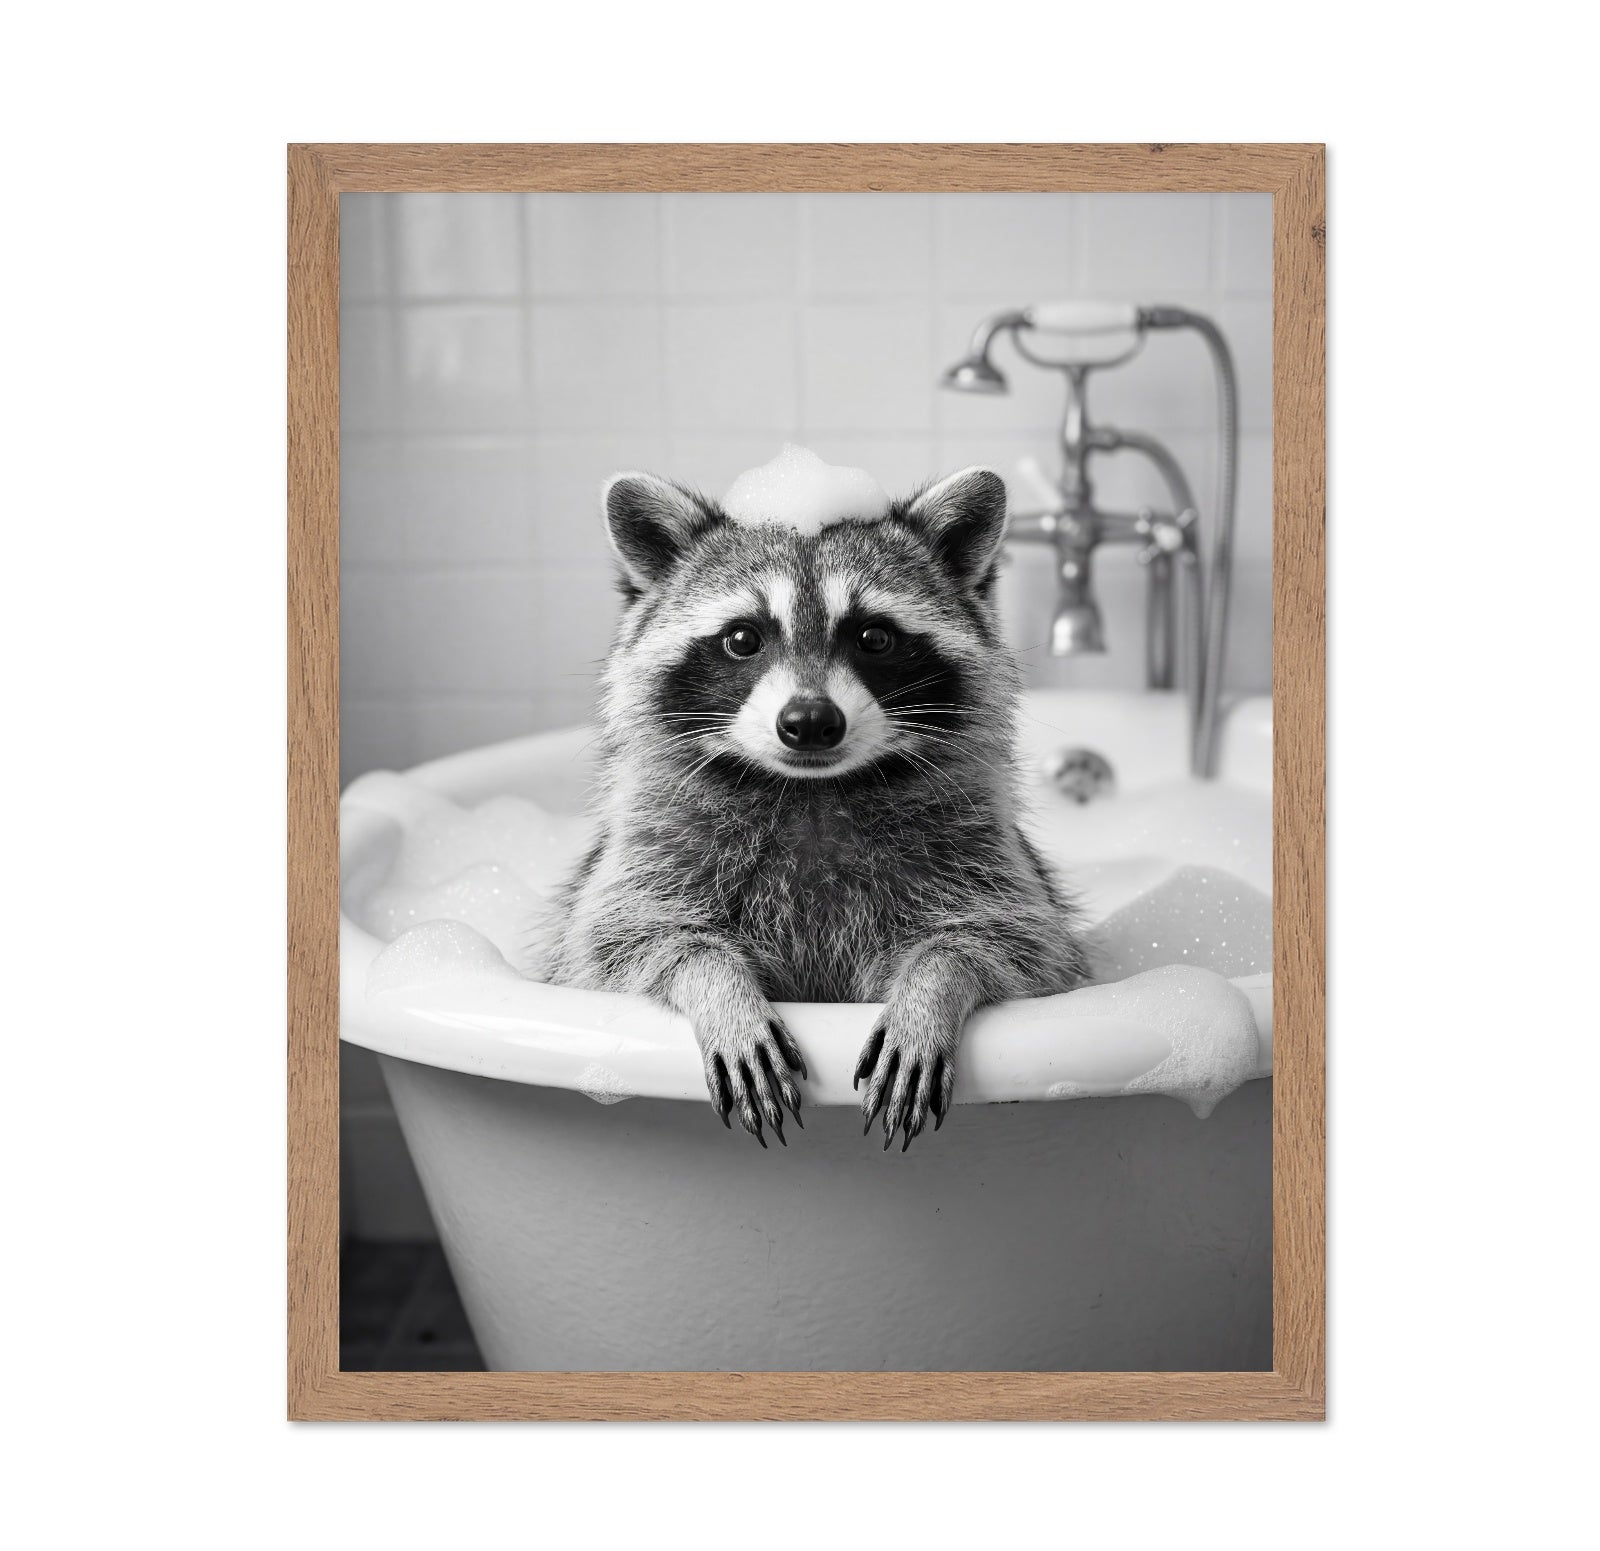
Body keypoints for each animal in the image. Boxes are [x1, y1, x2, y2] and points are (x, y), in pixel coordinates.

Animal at [542, 462, 1091, 1150]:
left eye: (874, 636)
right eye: (743, 638)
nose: (809, 723)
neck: (813, 793)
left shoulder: (979, 847)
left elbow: (1019, 945)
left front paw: (932, 987)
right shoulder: (652, 848)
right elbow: (620, 941)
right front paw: (719, 987)